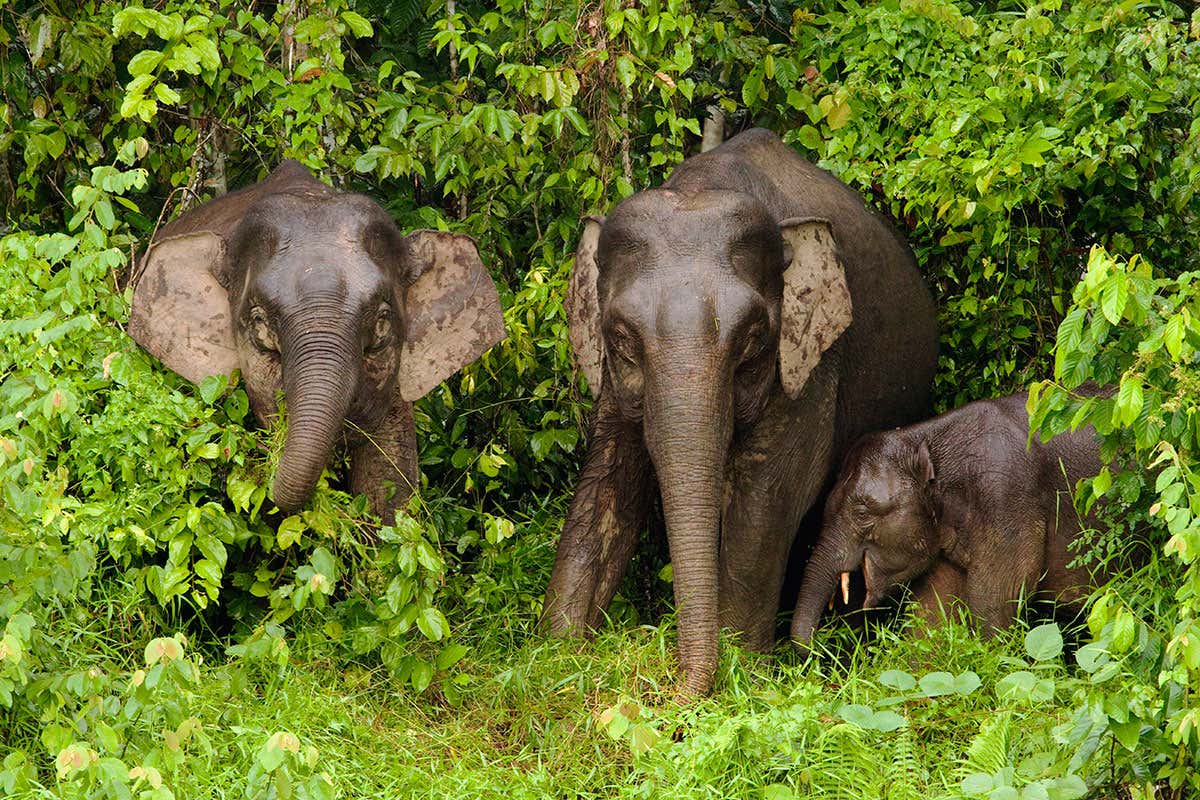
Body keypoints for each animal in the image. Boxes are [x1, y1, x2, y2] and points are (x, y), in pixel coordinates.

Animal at [541, 128, 939, 694]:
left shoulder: (812, 364)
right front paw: (557, 655)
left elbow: (768, 494)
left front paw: (743, 674)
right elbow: (606, 481)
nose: (671, 691)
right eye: (620, 341)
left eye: (752, 342)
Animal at [790, 389, 1110, 648]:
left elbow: (993, 601)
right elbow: (933, 609)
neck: (922, 438)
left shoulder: (1007, 498)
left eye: (861, 513)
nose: (820, 648)